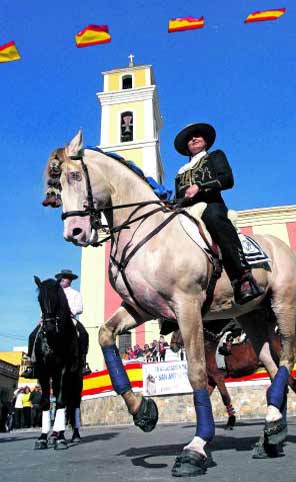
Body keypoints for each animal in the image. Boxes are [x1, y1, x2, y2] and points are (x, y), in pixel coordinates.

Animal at [33, 276, 80, 450]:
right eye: (39, 299)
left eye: (56, 299)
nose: (49, 327)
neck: (55, 339)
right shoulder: (43, 371)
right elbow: (46, 402)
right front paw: (42, 438)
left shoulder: (64, 370)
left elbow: (60, 402)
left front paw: (61, 439)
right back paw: (53, 435)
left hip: (76, 378)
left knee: (74, 404)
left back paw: (72, 436)